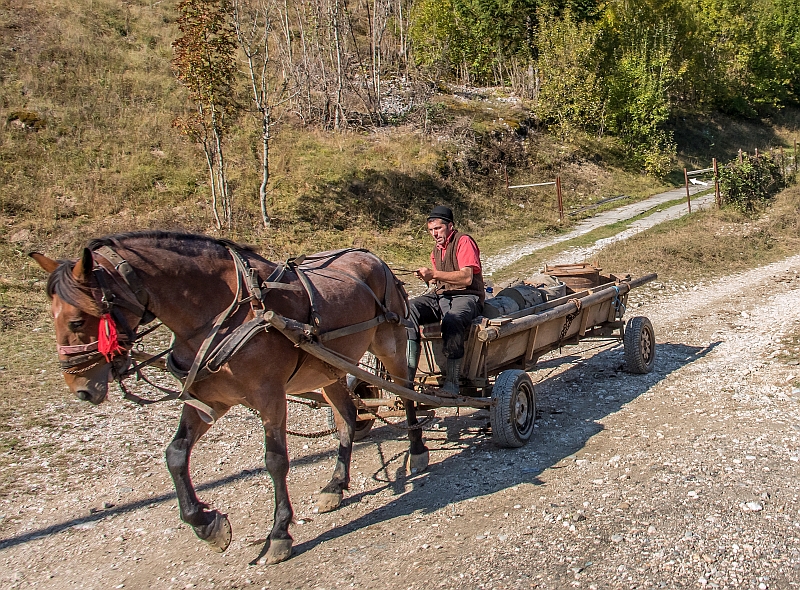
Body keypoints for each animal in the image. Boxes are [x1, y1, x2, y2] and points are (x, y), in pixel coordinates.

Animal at [31, 230, 432, 564]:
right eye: (52, 316)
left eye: (78, 320)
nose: (81, 389)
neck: (225, 313)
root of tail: (373, 257)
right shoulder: (210, 400)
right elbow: (175, 455)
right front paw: (207, 524)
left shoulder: (270, 397)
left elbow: (275, 461)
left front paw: (278, 535)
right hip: (330, 368)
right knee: (347, 418)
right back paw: (335, 485)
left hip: (390, 344)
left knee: (408, 396)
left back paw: (416, 451)